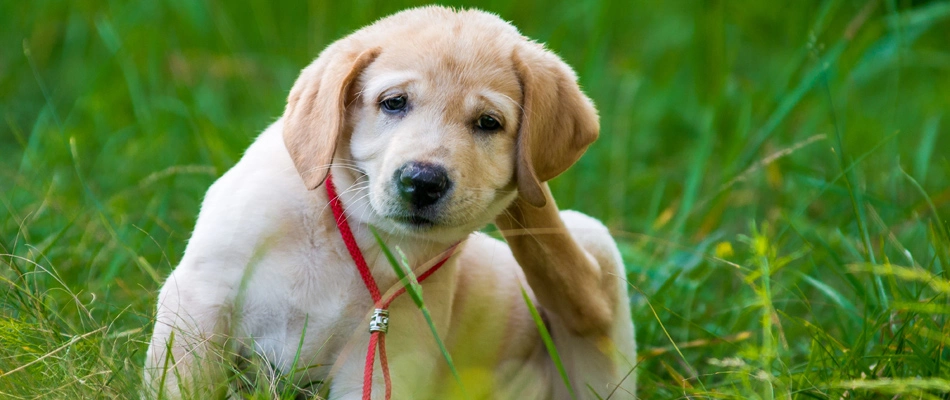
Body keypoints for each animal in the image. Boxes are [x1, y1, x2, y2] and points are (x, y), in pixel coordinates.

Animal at [145, 6, 640, 400]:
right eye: (394, 103)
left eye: (488, 123)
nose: (422, 181)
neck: (352, 231)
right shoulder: (201, 300)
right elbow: (184, 382)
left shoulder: (388, 353)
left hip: (592, 267)